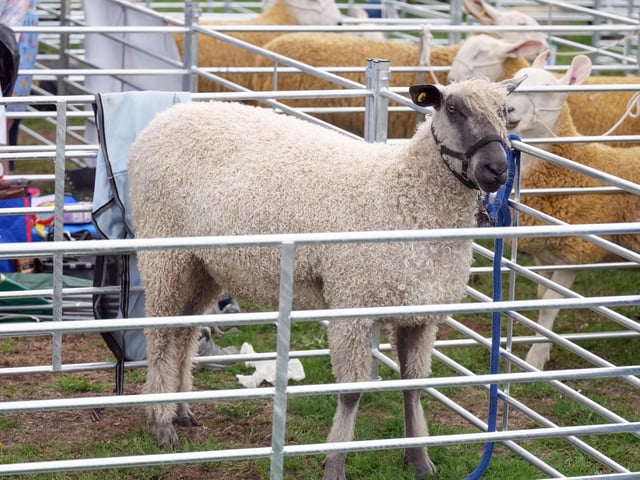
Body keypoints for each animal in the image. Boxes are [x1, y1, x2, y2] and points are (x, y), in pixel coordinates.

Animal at [127, 76, 521, 478]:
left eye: (506, 111)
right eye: (453, 109)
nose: (497, 169)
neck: (403, 196)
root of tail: (166, 117)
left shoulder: (420, 313)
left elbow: (414, 385)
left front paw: (419, 458)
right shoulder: (351, 303)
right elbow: (351, 392)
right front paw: (335, 462)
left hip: (202, 263)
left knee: (184, 332)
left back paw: (181, 409)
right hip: (164, 248)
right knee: (161, 336)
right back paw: (161, 423)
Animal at [504, 51, 640, 370]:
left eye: (549, 89)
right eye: (515, 80)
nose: (507, 108)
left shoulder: (575, 252)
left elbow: (550, 304)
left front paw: (536, 357)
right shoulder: (545, 254)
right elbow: (541, 296)